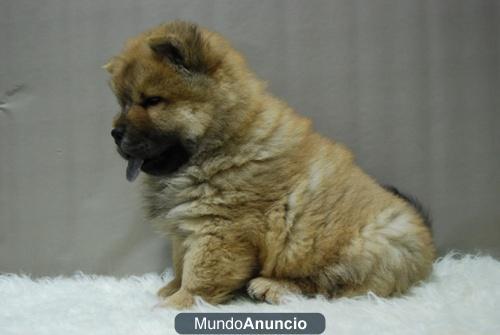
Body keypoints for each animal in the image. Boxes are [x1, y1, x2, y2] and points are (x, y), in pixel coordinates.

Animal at [104, 21, 434, 310]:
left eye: (152, 101)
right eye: (123, 103)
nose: (115, 133)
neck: (223, 142)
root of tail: (426, 237)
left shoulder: (220, 228)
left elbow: (200, 273)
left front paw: (176, 303)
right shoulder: (185, 228)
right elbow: (180, 262)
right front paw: (170, 288)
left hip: (368, 248)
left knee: (326, 285)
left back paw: (270, 286)